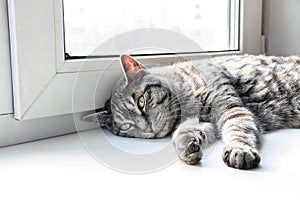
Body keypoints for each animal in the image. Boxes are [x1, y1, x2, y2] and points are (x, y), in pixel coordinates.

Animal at [82, 54, 300, 169]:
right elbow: (185, 132)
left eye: (141, 102)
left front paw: (239, 149)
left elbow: (238, 130)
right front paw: (185, 147)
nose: (148, 130)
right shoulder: (203, 122)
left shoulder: (231, 109)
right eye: (127, 126)